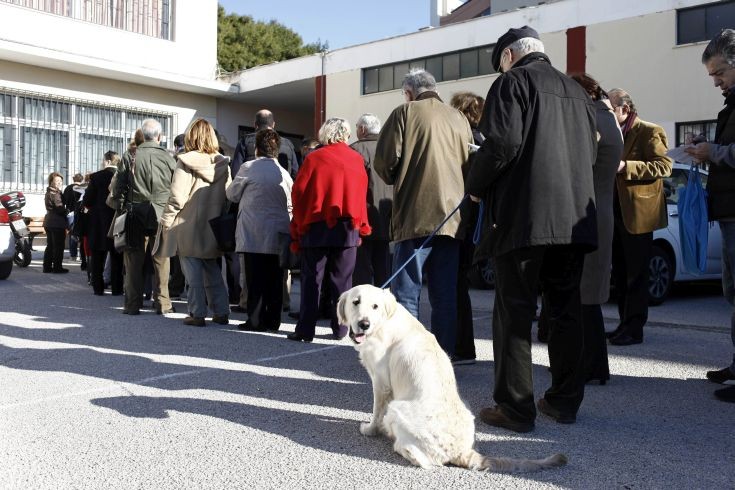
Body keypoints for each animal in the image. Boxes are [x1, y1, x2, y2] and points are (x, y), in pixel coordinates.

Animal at [340, 286, 568, 472]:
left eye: (375, 306)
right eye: (355, 302)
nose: (364, 324)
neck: (385, 320)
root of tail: (461, 452)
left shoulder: (381, 383)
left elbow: (377, 412)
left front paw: (370, 430)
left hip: (397, 408)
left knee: (423, 460)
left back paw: (400, 446)